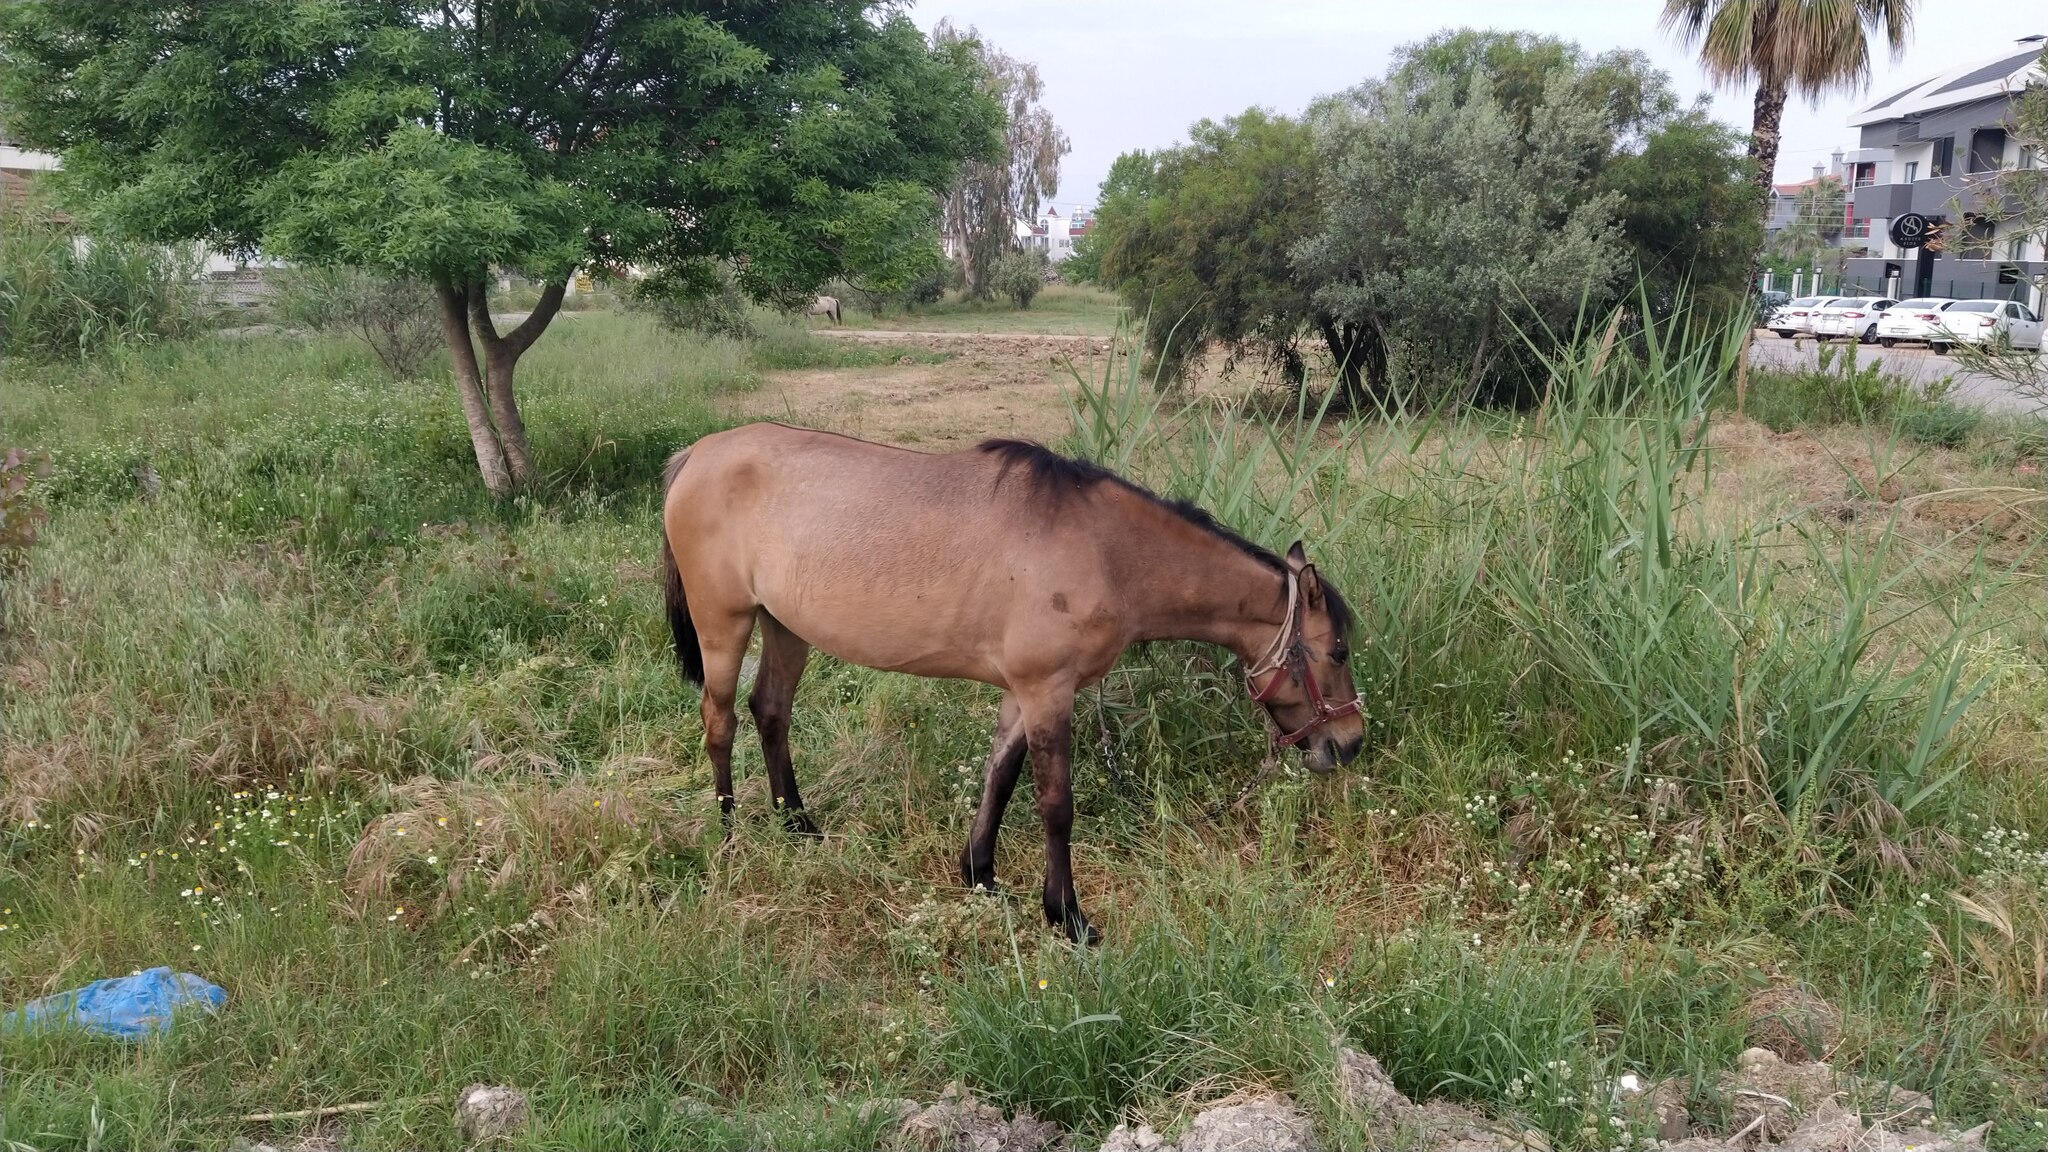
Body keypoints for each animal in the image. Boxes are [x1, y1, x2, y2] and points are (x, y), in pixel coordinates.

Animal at [659, 416, 1359, 938]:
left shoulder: (1023, 693)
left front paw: (981, 875)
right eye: (1338, 652)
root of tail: (695, 454)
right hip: (724, 625)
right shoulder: (1046, 689)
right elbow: (1055, 804)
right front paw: (1067, 915)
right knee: (719, 720)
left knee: (770, 711)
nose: (1348, 743)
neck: (1106, 549)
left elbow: (1000, 776)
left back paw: (797, 824)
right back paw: (729, 833)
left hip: (785, 628)